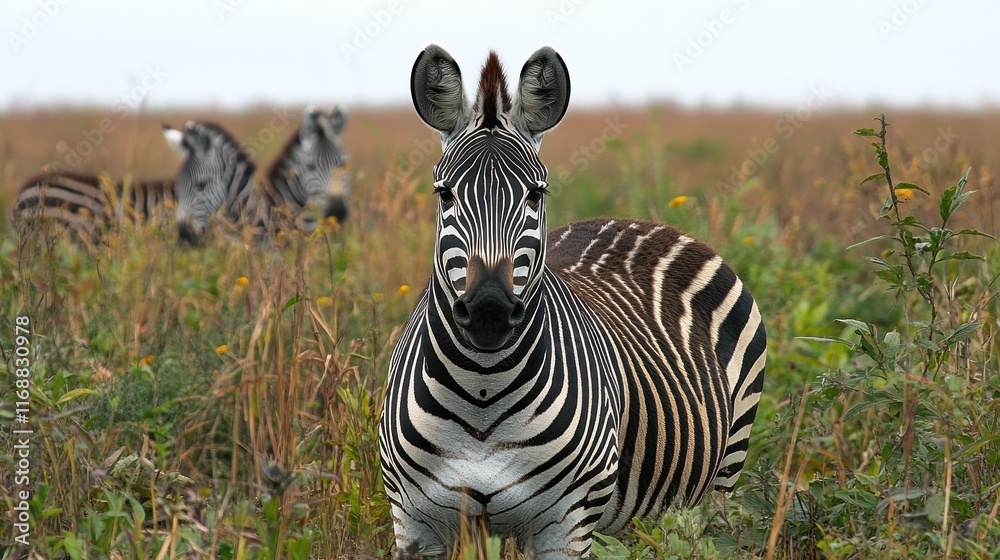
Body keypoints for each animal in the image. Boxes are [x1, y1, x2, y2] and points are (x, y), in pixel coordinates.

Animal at [379, 45, 767, 559]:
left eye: (535, 193)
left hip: (723, 474)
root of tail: (636, 221)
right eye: (444, 194)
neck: (482, 392)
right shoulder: (416, 525)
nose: (488, 311)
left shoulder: (566, 525)